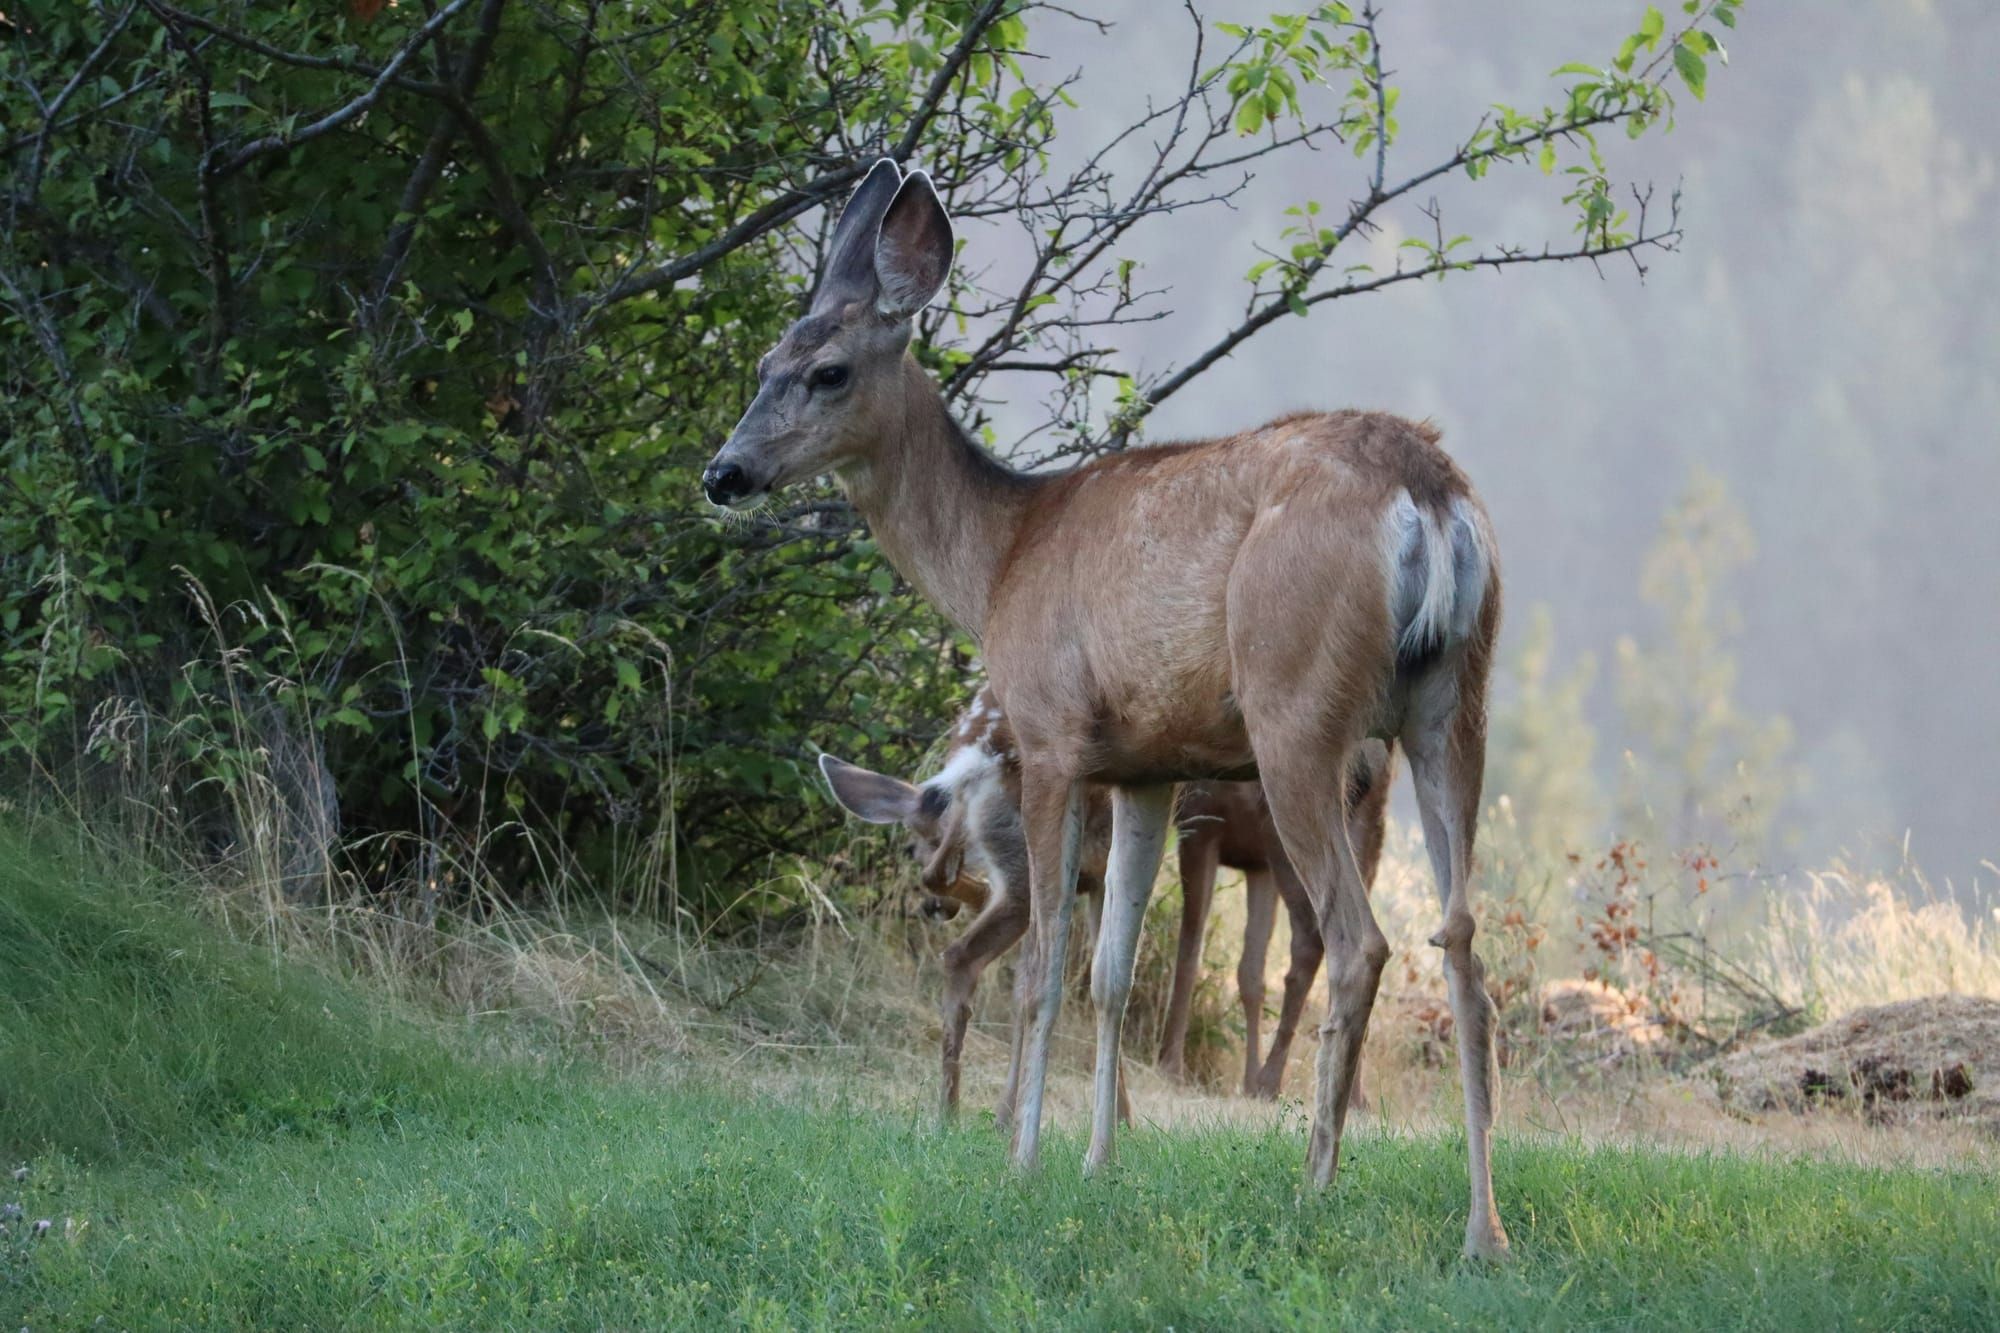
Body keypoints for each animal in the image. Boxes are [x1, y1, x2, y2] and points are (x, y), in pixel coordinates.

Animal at [703, 159, 1512, 1259]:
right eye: (761, 361)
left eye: (826, 371)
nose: (723, 473)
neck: (999, 555)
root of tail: (1427, 492)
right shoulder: (1145, 765)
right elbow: (1112, 973)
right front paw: (1097, 1163)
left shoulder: (1050, 735)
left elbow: (1043, 962)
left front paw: (1022, 1160)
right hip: (1453, 702)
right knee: (1464, 941)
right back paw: (1482, 1229)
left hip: (1296, 704)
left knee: (1360, 941)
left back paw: (1313, 1188)